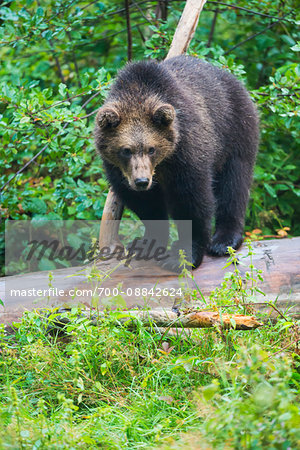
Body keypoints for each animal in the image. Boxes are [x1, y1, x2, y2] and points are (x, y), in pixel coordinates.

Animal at [94, 54, 260, 268]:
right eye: (126, 150)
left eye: (151, 149)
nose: (142, 181)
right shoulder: (118, 170)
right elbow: (146, 206)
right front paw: (145, 243)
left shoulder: (186, 152)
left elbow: (191, 200)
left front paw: (185, 254)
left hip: (235, 130)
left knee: (234, 183)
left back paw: (224, 240)